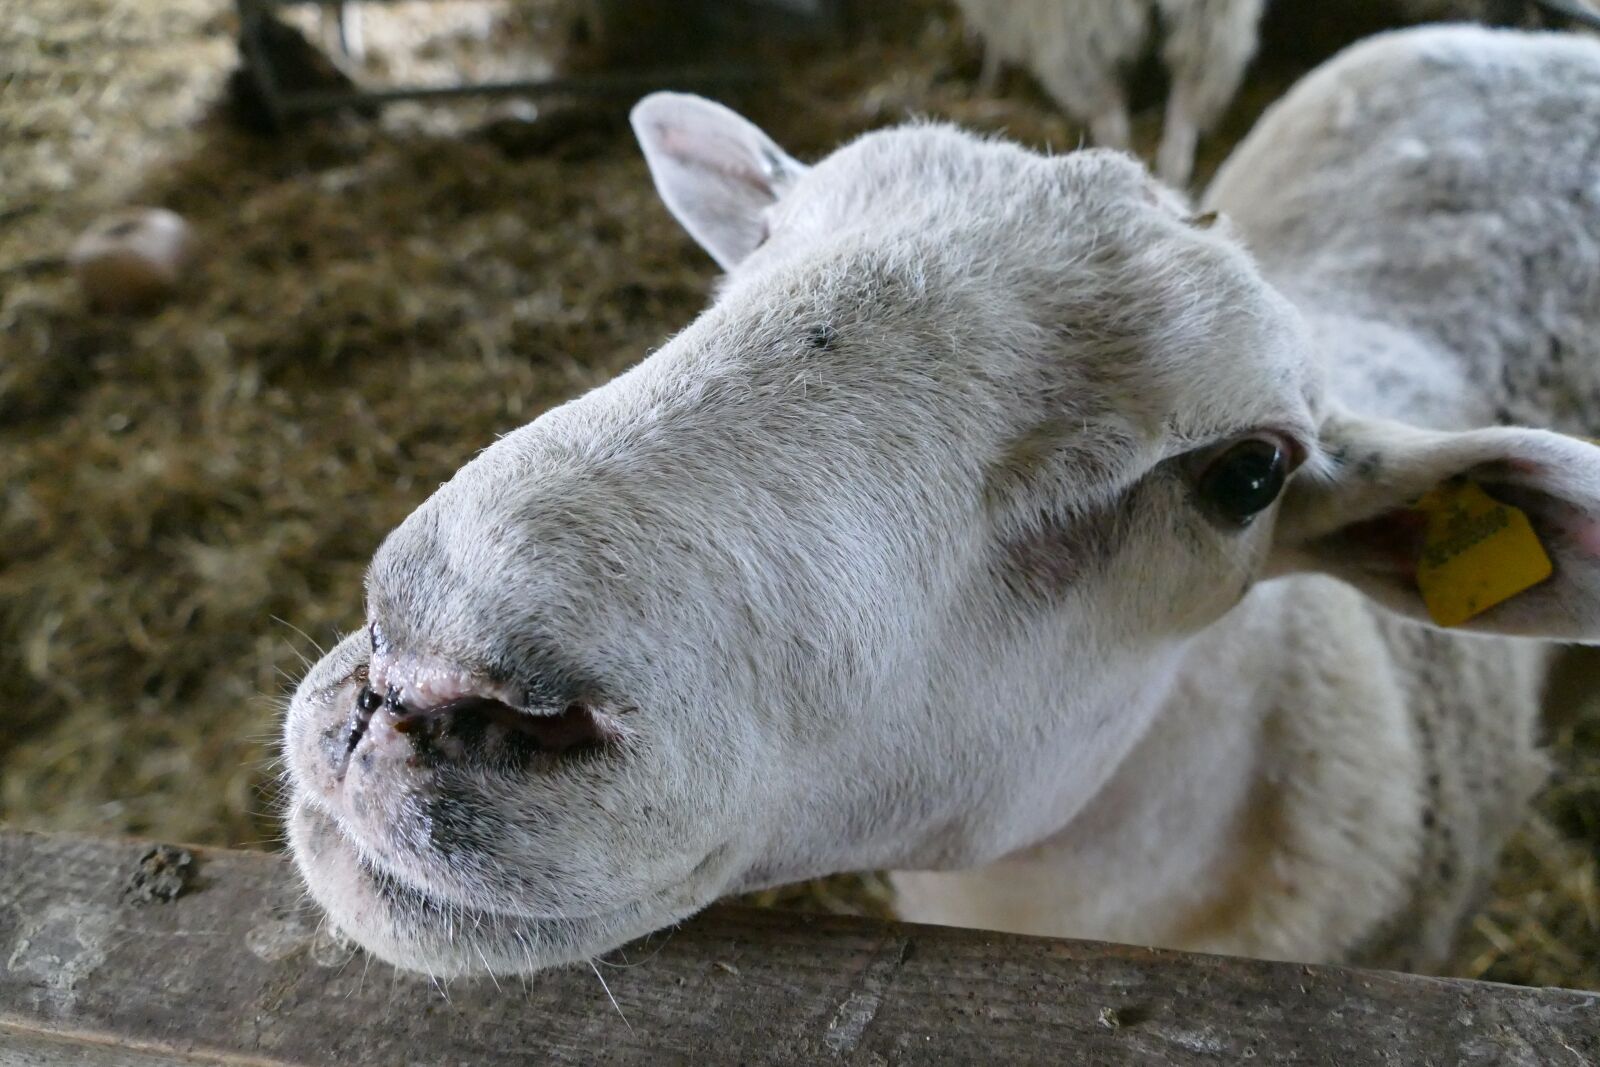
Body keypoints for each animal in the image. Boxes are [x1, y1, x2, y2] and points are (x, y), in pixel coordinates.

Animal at [954, 0, 1265, 186]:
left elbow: (995, 41)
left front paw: (989, 78)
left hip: (1076, 32)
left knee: (1109, 118)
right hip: (1209, 23)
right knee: (1188, 106)